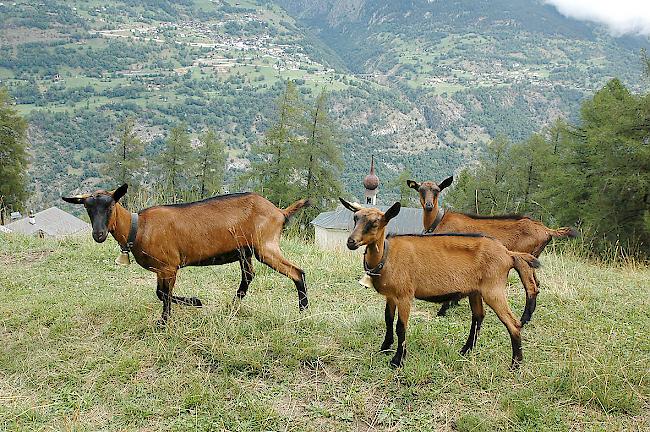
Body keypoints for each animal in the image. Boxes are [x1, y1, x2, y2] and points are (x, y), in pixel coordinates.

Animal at [63, 183, 312, 324]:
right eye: (87, 208)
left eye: (111, 205)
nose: (99, 234)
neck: (139, 227)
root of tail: (279, 212)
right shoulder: (161, 269)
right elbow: (160, 293)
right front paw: (194, 302)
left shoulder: (169, 266)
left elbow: (163, 295)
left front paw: (166, 321)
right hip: (246, 250)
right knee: (248, 276)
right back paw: (232, 306)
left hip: (265, 245)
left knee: (297, 272)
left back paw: (303, 312)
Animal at [340, 197, 536, 370]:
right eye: (355, 218)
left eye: (374, 223)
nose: (351, 242)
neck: (387, 256)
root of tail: (508, 254)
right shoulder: (391, 295)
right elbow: (388, 320)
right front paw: (384, 348)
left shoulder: (404, 295)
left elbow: (400, 327)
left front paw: (398, 360)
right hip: (475, 291)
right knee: (478, 316)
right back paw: (465, 350)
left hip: (493, 289)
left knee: (513, 323)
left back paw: (515, 364)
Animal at [408, 176, 576, 320]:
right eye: (420, 190)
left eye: (437, 190)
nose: (429, 206)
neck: (439, 221)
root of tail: (546, 230)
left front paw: (443, 310)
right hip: (533, 259)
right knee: (538, 284)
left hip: (524, 259)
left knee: (532, 288)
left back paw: (523, 320)